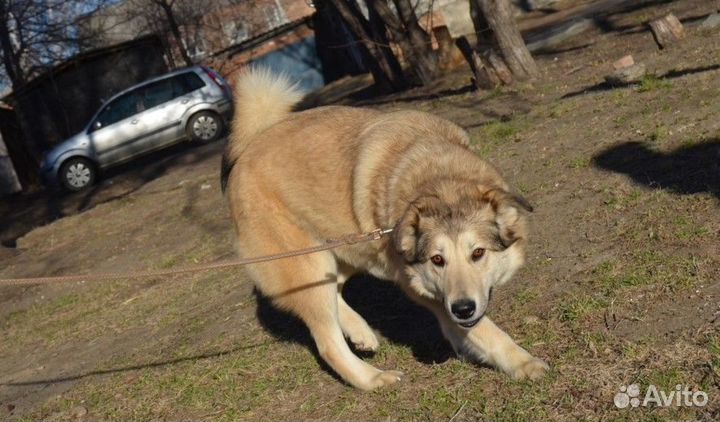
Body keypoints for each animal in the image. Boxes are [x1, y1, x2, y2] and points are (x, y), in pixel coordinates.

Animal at [222, 68, 548, 390]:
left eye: (478, 253)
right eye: (437, 259)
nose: (463, 308)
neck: (439, 180)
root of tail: (249, 149)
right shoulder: (423, 287)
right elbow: (486, 331)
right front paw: (523, 363)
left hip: (344, 249)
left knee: (336, 290)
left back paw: (360, 332)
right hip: (307, 264)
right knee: (328, 343)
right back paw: (372, 378)